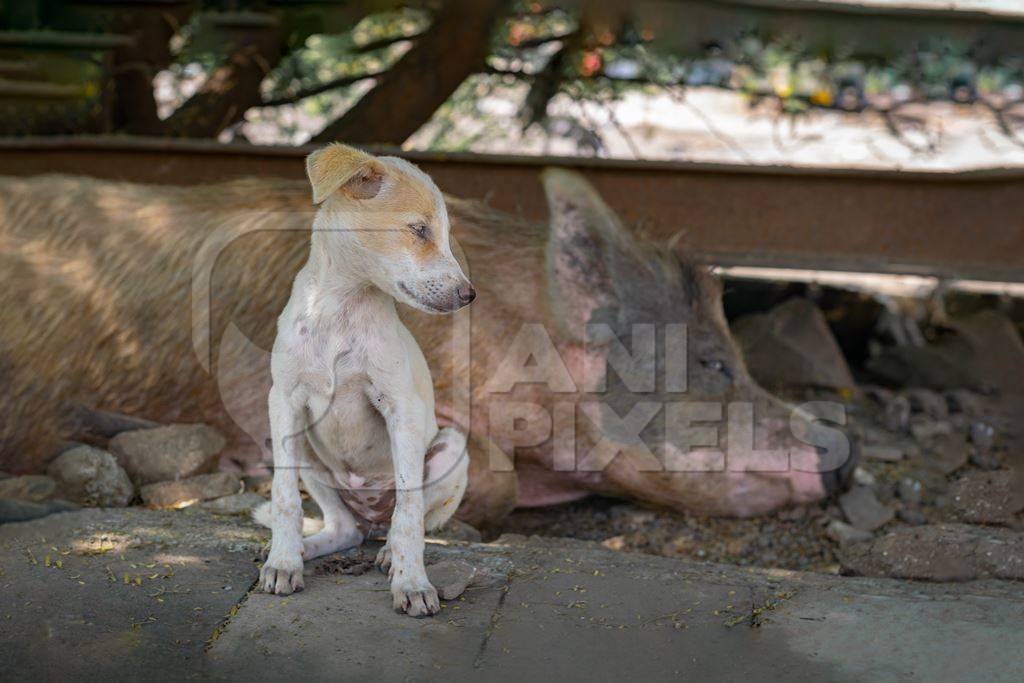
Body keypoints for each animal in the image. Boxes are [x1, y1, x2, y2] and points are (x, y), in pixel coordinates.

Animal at [260, 141, 475, 618]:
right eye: (419, 229)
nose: (470, 295)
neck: (340, 307)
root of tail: (369, 516)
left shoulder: (400, 409)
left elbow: (410, 507)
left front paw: (412, 583)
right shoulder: (284, 401)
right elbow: (284, 497)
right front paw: (282, 562)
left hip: (452, 447)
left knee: (404, 518)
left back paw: (390, 552)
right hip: (306, 454)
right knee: (344, 529)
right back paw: (306, 547)